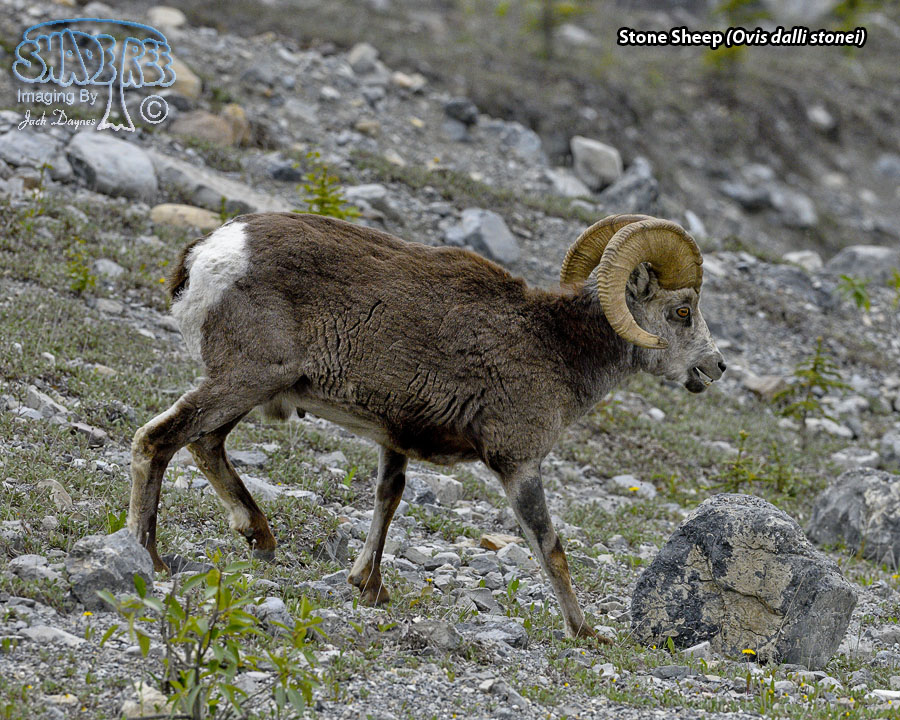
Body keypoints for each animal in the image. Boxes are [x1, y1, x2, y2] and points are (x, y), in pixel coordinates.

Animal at [128, 211, 725, 639]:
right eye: (681, 311)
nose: (715, 368)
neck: (556, 346)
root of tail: (207, 257)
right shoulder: (519, 463)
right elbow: (549, 546)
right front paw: (585, 633)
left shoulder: (394, 440)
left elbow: (387, 500)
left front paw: (368, 587)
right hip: (245, 380)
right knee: (158, 439)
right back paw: (149, 557)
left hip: (248, 390)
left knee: (205, 444)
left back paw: (260, 537)